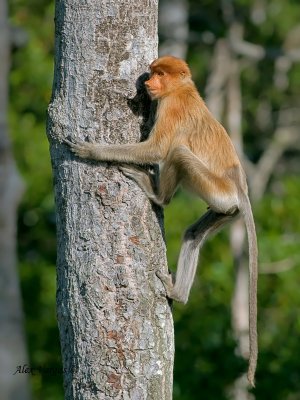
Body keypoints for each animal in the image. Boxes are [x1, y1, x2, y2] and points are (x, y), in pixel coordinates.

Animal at [65, 54, 258, 386]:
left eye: (161, 74)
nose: (149, 82)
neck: (182, 89)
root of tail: (240, 186)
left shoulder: (171, 108)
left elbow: (157, 148)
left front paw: (91, 150)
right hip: (226, 208)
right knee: (193, 234)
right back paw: (177, 292)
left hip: (216, 191)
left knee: (178, 151)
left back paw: (158, 196)